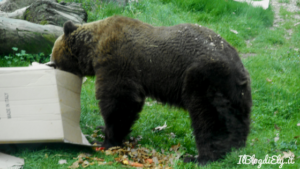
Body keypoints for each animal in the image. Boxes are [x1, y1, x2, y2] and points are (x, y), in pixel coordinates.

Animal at [48, 15, 252, 165]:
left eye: (55, 58)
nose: (52, 64)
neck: (93, 47)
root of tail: (238, 67)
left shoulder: (118, 60)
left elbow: (119, 99)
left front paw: (106, 140)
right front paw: (102, 128)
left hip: (202, 79)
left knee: (208, 119)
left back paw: (201, 157)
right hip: (235, 93)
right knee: (235, 120)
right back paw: (235, 148)